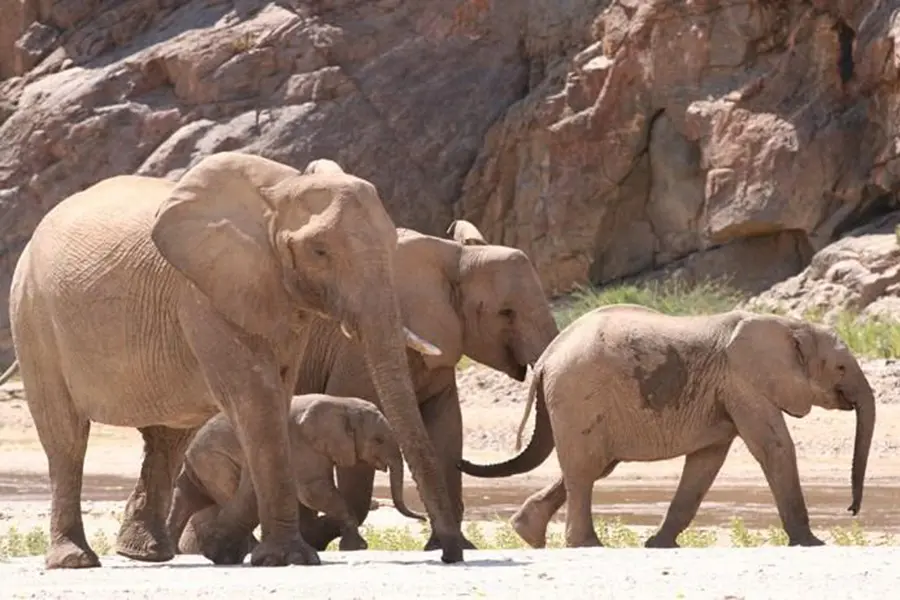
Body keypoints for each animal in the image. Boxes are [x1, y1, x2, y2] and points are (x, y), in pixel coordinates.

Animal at [166, 392, 426, 556]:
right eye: (378, 439)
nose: (423, 518)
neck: (341, 403)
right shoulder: (300, 444)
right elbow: (313, 491)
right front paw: (357, 547)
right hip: (216, 461)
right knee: (228, 495)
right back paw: (247, 550)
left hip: (202, 464)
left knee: (187, 500)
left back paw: (174, 551)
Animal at [292, 219, 560, 548]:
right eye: (506, 313)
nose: (466, 463)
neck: (455, 256)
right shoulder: (356, 351)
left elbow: (446, 426)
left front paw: (453, 545)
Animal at [460, 308, 876, 552]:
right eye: (841, 368)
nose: (852, 509)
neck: (789, 323)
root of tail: (547, 356)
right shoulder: (743, 382)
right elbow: (774, 447)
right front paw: (812, 544)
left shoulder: (727, 390)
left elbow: (705, 464)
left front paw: (659, 546)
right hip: (578, 395)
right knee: (585, 470)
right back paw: (587, 545)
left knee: (592, 466)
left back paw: (527, 533)